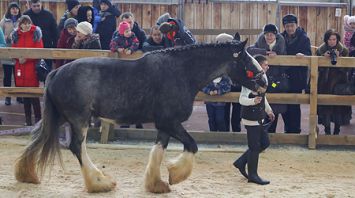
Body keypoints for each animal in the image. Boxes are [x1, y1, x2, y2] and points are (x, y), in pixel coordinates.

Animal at [15, 39, 268, 193]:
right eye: (245, 59)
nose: (264, 82)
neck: (182, 73)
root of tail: (57, 72)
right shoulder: (170, 122)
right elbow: (192, 145)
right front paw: (176, 175)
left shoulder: (165, 125)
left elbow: (158, 151)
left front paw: (157, 184)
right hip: (78, 119)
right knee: (77, 147)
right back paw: (100, 183)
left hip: (60, 118)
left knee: (38, 140)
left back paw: (27, 175)